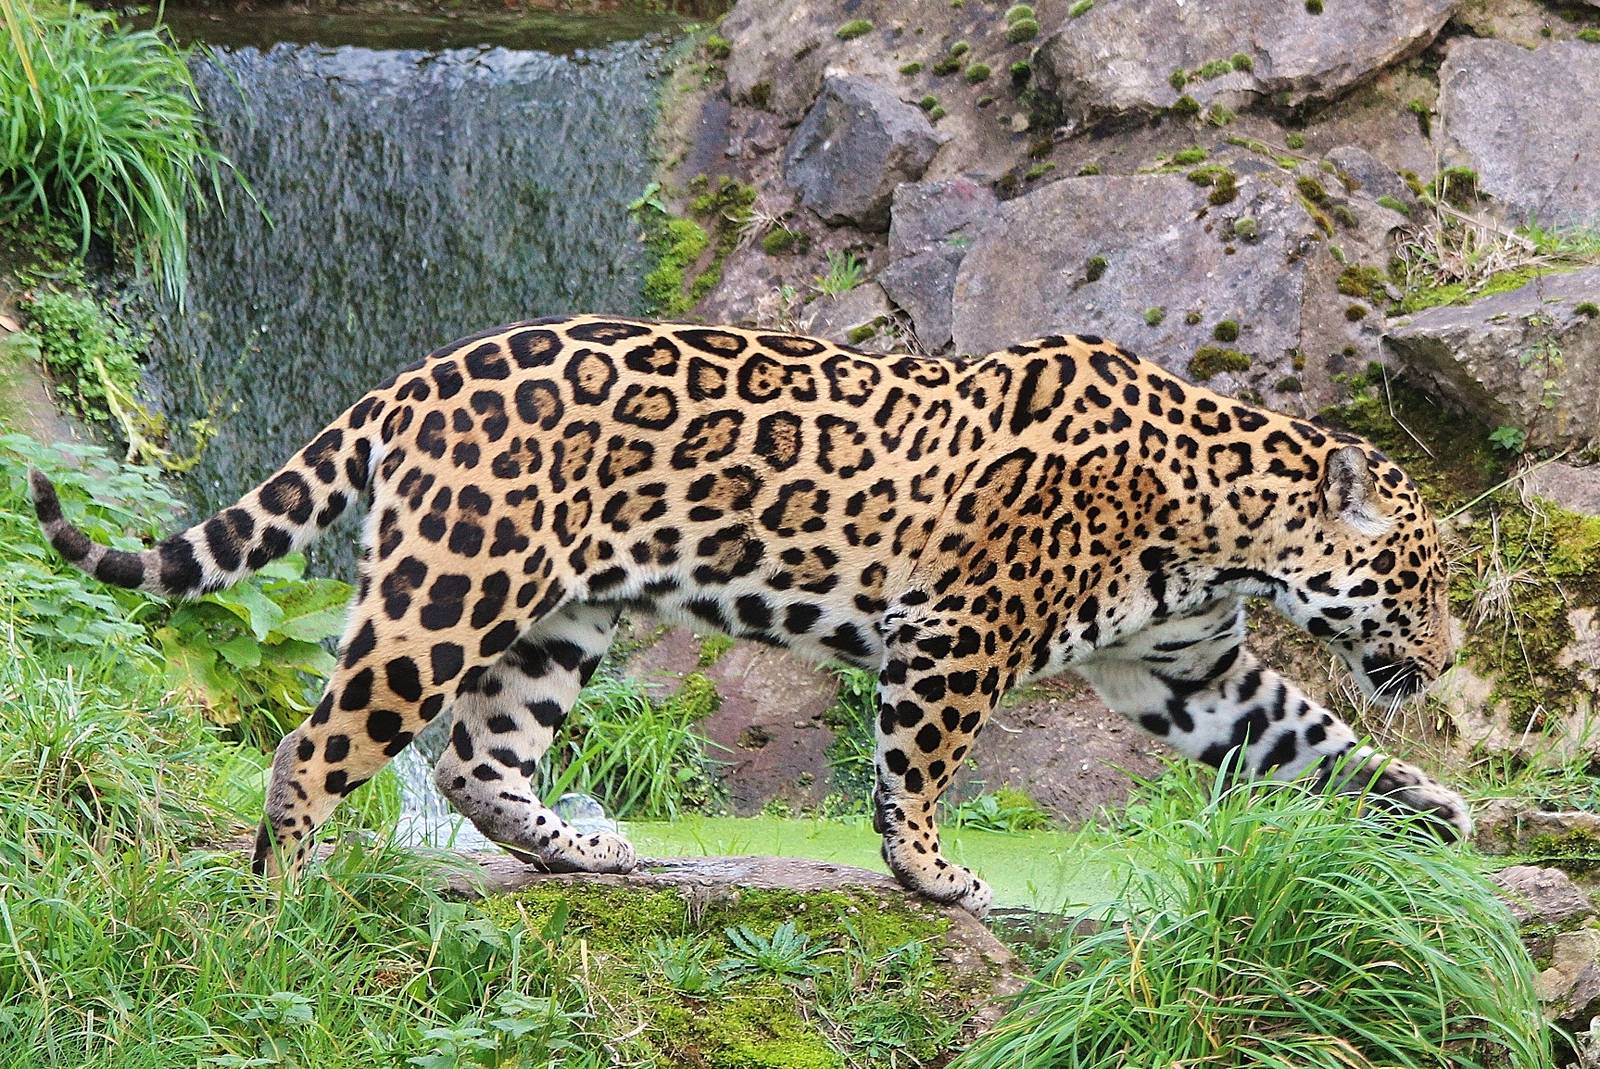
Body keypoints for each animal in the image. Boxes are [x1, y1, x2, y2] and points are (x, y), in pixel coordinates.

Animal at [31, 315, 1471, 917]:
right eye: (1428, 579)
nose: (1450, 657)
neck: (1229, 530)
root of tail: (416, 376)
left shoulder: (1188, 672)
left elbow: (1313, 742)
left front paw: (1436, 813)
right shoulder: (958, 635)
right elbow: (913, 771)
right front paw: (933, 875)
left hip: (563, 612)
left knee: (477, 757)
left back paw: (583, 853)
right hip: (452, 589)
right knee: (318, 741)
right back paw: (287, 898)